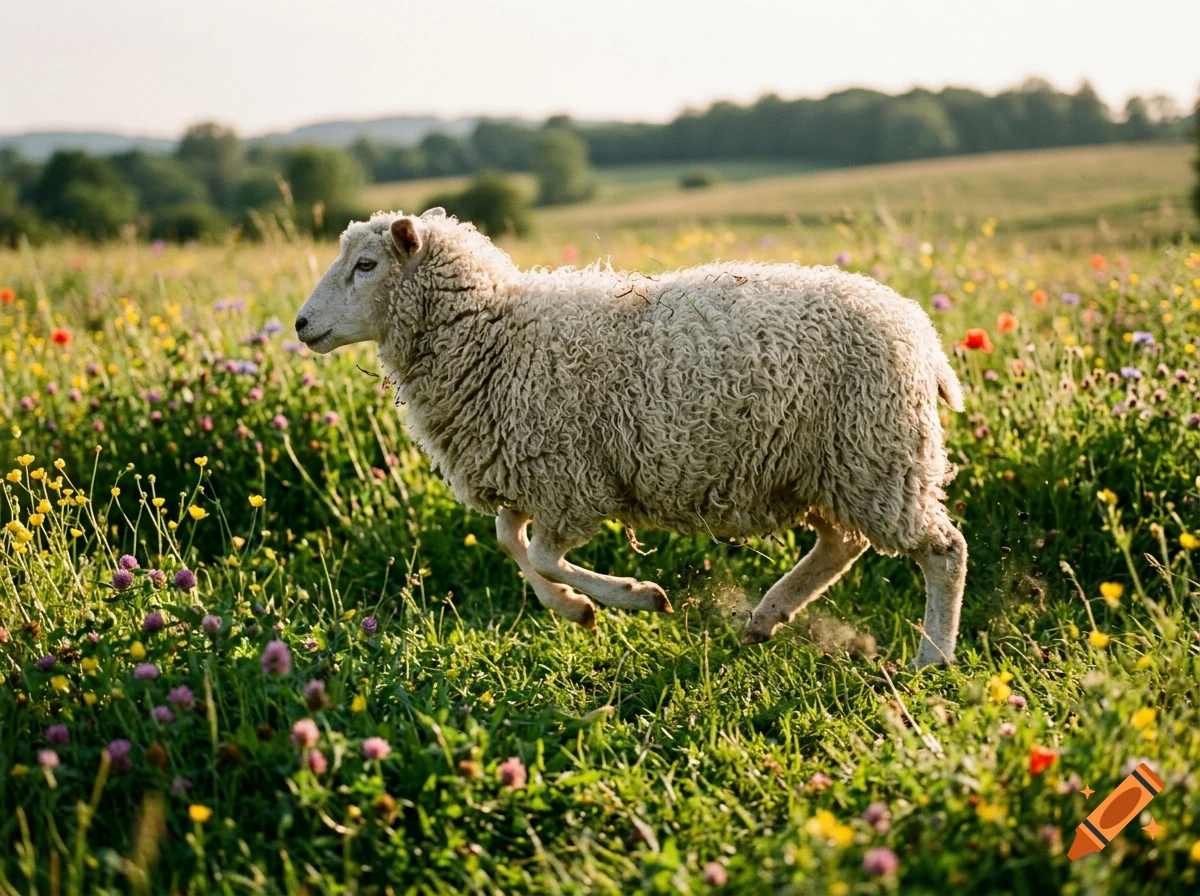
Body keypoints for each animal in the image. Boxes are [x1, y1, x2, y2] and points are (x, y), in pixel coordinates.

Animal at [294, 209, 967, 666]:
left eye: (366, 265)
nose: (300, 324)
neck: (494, 332)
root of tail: (921, 332)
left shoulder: (572, 482)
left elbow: (541, 553)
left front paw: (639, 597)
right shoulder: (528, 471)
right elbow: (511, 542)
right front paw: (574, 608)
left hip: (878, 454)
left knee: (944, 551)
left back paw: (932, 657)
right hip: (823, 467)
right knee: (841, 545)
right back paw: (767, 617)